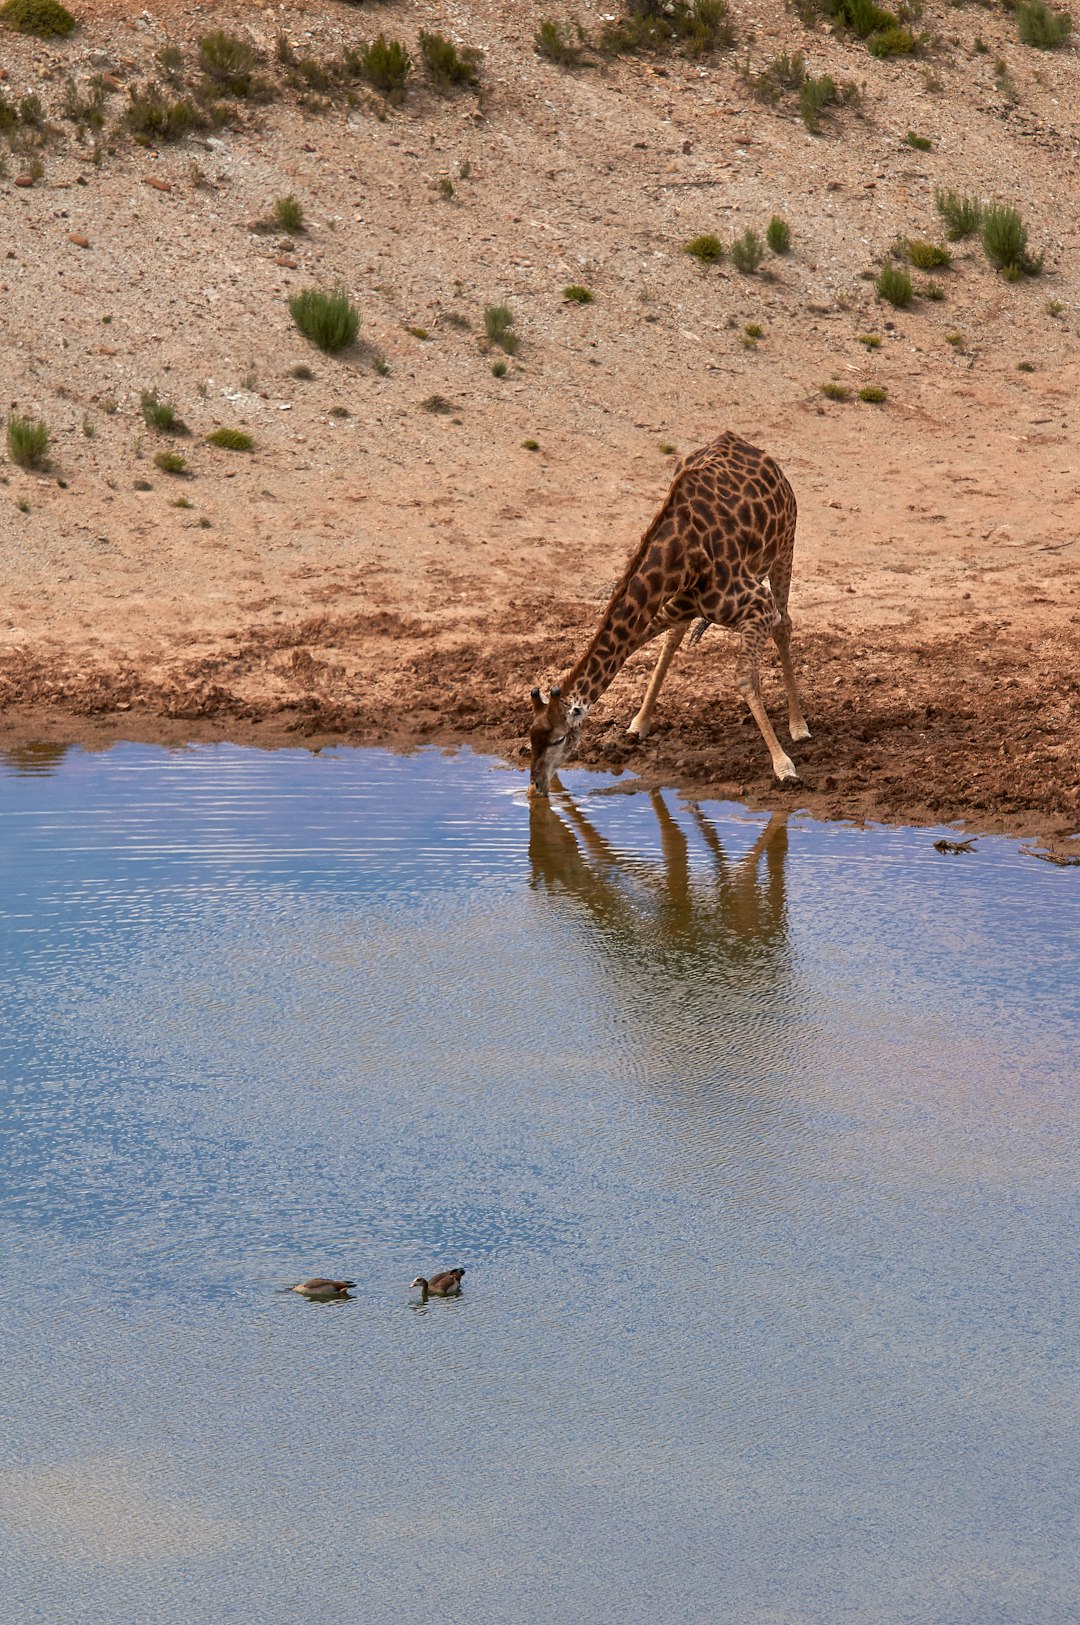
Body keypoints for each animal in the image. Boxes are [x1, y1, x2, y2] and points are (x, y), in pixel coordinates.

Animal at [529, 425, 808, 793]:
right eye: (531, 736)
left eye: (559, 739)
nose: (536, 785)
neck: (681, 557)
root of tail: (753, 449)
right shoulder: (679, 602)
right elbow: (635, 644)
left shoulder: (757, 605)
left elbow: (745, 677)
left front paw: (783, 766)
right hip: (690, 603)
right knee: (675, 635)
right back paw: (640, 722)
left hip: (785, 544)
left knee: (784, 623)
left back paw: (799, 727)